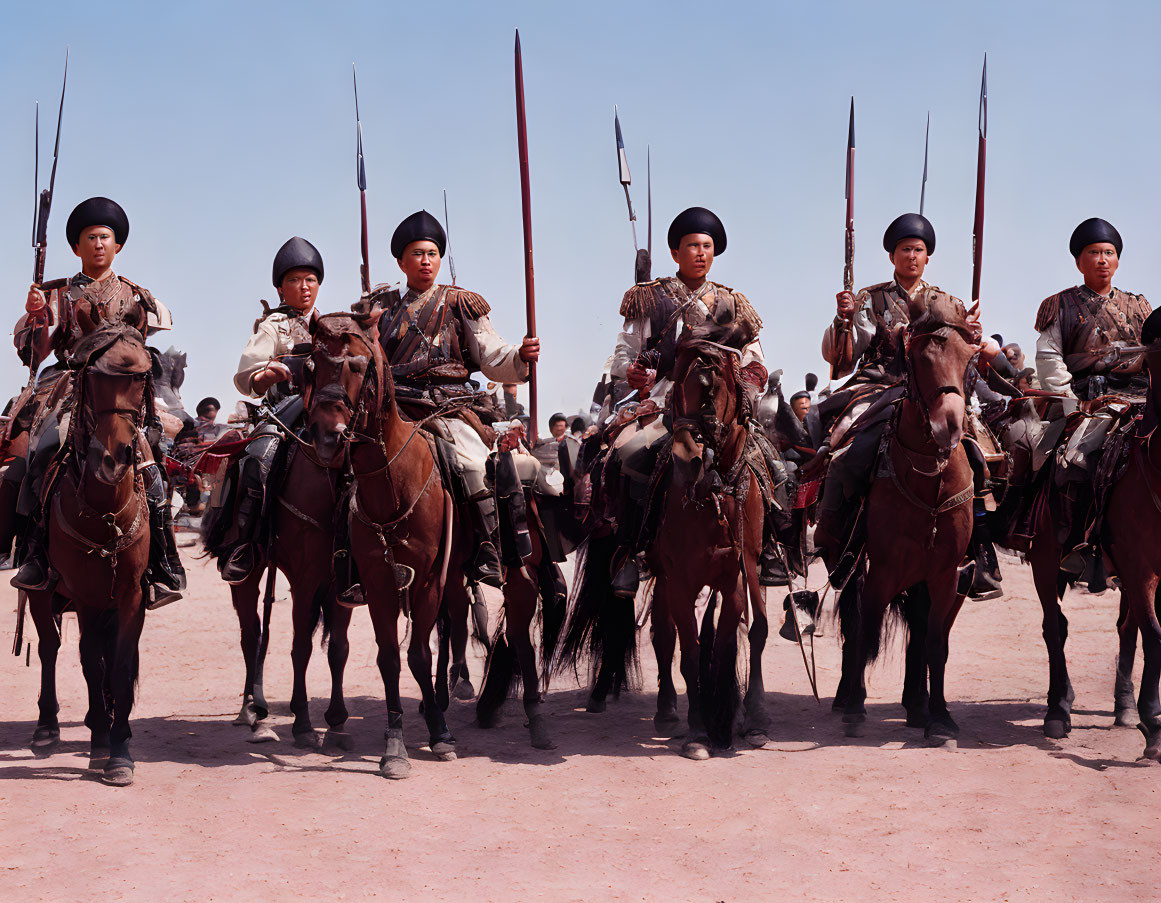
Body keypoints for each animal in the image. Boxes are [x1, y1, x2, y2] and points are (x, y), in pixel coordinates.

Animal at [24, 322, 155, 779]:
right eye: (92, 378)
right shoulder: (84, 596)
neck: (106, 511)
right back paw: (47, 726)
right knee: (49, 647)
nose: (113, 460)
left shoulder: (130, 593)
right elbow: (89, 660)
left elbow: (119, 664)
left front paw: (120, 748)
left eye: (140, 379)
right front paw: (101, 739)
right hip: (42, 592)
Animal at [835, 295, 979, 747]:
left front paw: (940, 719)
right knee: (854, 623)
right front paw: (855, 709)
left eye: (969, 358)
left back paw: (917, 706)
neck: (928, 478)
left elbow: (935, 643)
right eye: (920, 356)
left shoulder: (946, 573)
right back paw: (846, 698)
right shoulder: (880, 569)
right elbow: (865, 630)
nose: (949, 425)